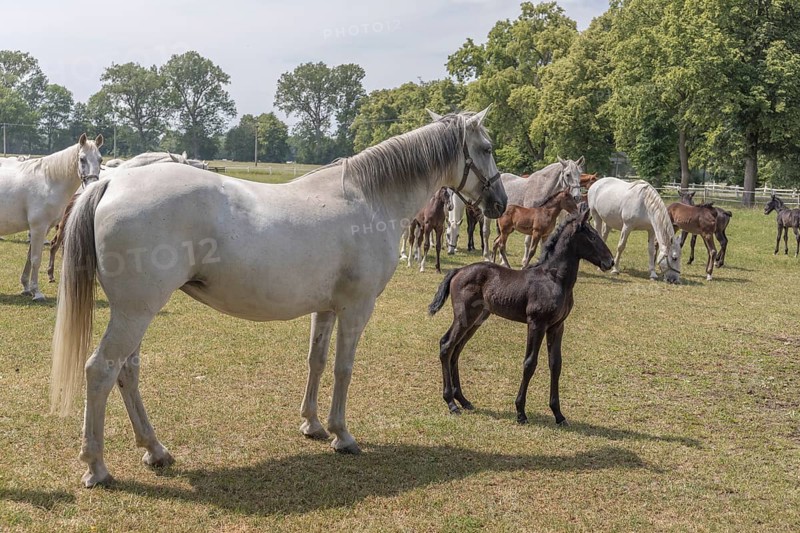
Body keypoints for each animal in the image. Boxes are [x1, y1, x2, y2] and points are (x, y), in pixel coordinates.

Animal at [0, 134, 103, 300]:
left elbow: (29, 257)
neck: (48, 182)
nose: (92, 185)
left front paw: (26, 288)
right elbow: (36, 259)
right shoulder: (38, 228)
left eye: (100, 160)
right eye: (82, 159)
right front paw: (36, 292)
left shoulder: (43, 229)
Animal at [50, 109, 507, 487]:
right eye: (486, 148)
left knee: (127, 372)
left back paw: (155, 449)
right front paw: (342, 435)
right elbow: (343, 368)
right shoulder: (356, 308)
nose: (500, 202)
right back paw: (96, 467)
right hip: (134, 313)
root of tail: (112, 182)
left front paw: (313, 425)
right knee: (101, 370)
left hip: (136, 313)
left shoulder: (326, 309)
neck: (369, 199)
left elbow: (316, 361)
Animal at [428, 206, 614, 424]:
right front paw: (520, 411)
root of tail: (458, 270)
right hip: (464, 316)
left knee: (457, 349)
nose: (610, 261)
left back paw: (463, 400)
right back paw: (451, 402)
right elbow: (529, 363)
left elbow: (555, 364)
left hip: (477, 319)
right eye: (592, 237)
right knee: (446, 345)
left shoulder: (557, 326)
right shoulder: (536, 324)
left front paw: (558, 414)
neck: (554, 279)